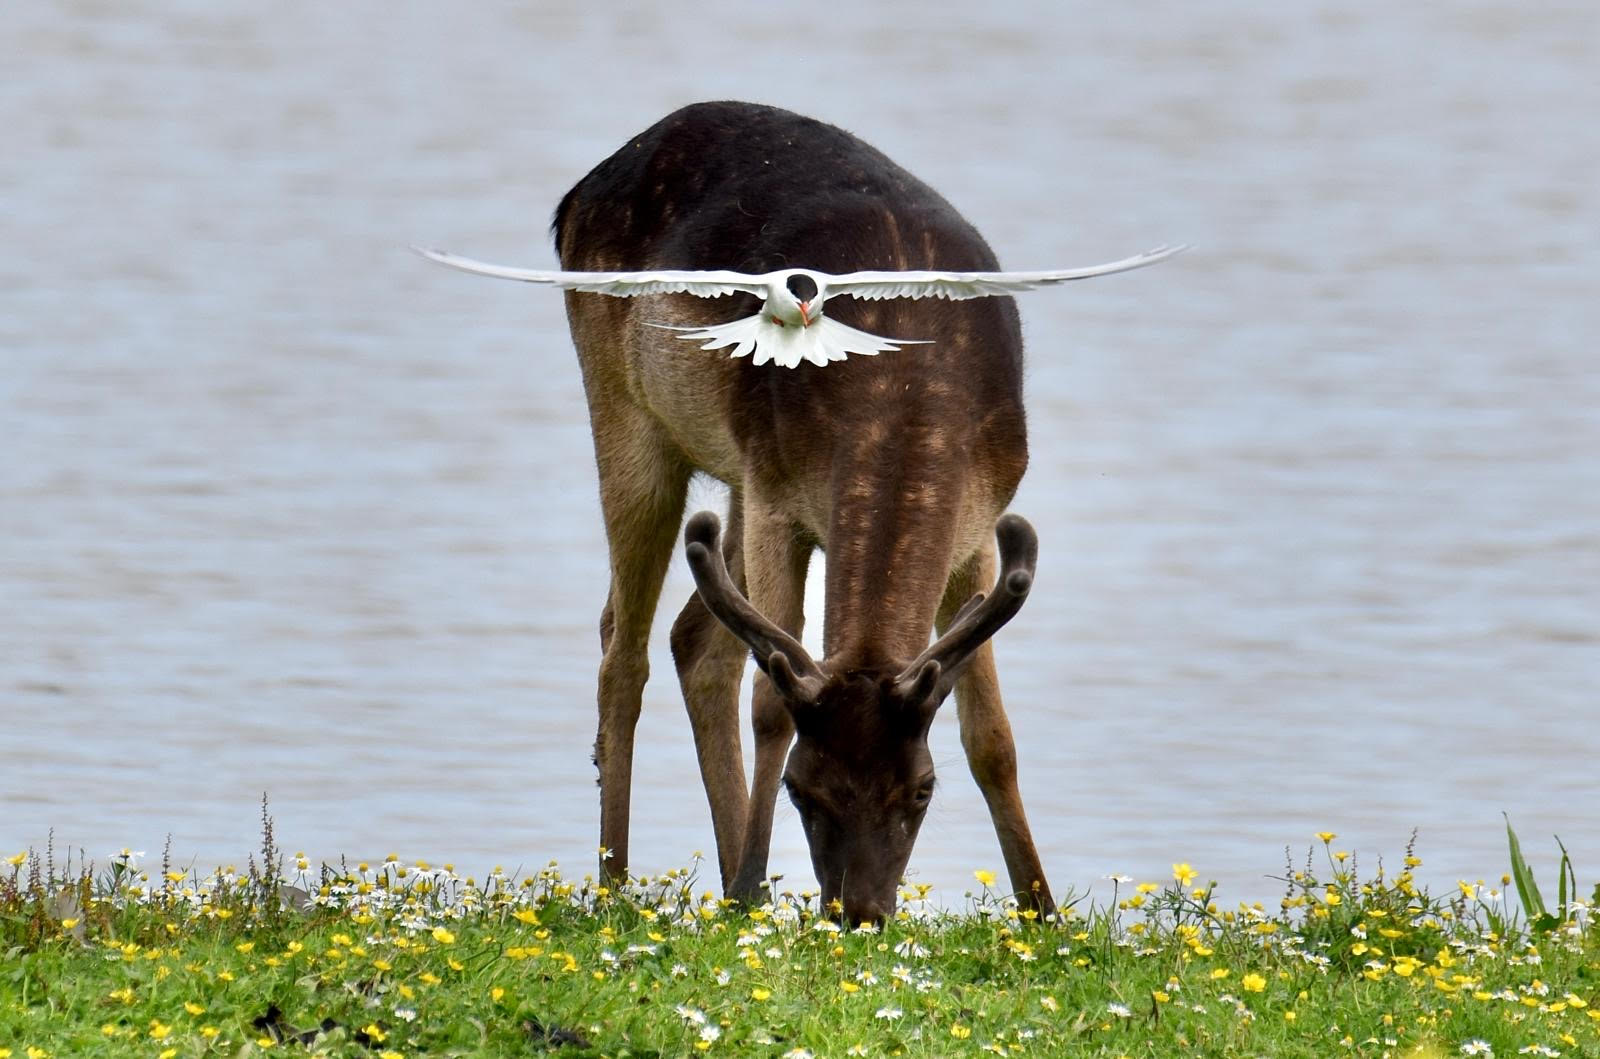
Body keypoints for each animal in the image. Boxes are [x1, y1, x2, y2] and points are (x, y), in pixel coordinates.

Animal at [425, 101, 1178, 923]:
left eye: (922, 788)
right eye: (800, 788)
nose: (860, 911)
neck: (907, 399)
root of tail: (578, 193)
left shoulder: (981, 524)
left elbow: (992, 737)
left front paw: (1041, 913)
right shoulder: (779, 497)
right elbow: (770, 707)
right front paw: (752, 880)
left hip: (734, 476)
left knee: (694, 640)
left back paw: (732, 887)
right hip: (629, 414)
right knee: (623, 647)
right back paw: (625, 885)